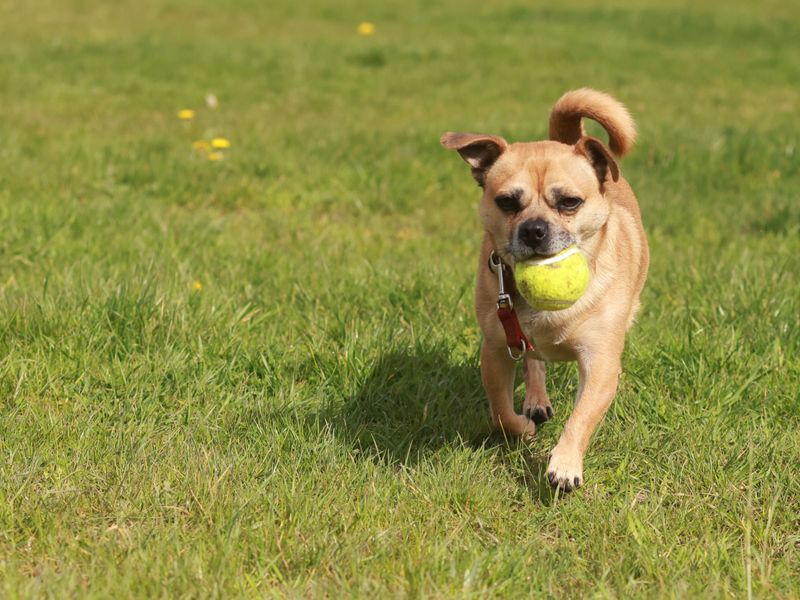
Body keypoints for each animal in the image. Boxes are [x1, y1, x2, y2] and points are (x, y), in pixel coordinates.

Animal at [440, 89, 648, 492]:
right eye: (507, 202)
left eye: (569, 202)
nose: (534, 229)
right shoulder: (495, 350)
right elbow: (501, 412)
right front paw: (523, 428)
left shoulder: (599, 363)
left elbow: (582, 417)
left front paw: (565, 463)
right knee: (534, 361)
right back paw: (535, 401)